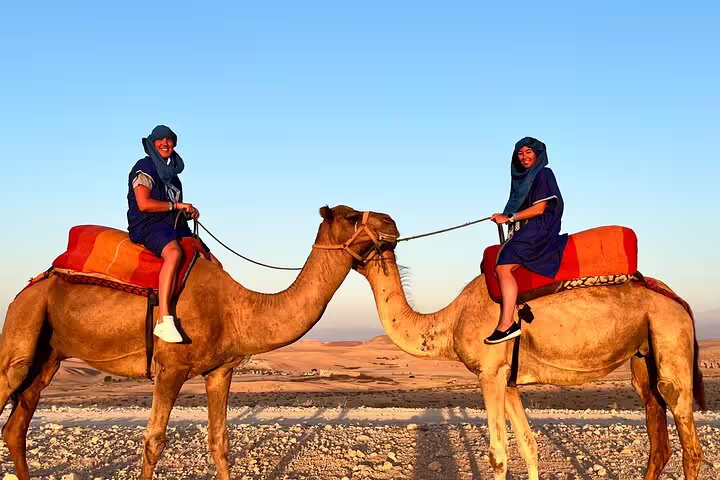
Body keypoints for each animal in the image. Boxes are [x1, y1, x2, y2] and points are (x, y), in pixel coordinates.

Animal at [0, 205, 400, 480]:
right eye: (351, 216)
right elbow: (154, 442)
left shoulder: (220, 371)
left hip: (48, 353)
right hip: (23, 326)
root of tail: (32, 283)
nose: (391, 222)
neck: (235, 307)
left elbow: (220, 441)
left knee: (17, 424)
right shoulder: (170, 368)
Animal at [356, 247, 706, 480]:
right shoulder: (508, 380)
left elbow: (498, 454)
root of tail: (678, 299)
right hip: (643, 353)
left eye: (351, 218)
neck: (451, 320)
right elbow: (529, 446)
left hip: (670, 331)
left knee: (686, 434)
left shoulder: (490, 374)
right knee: (656, 428)